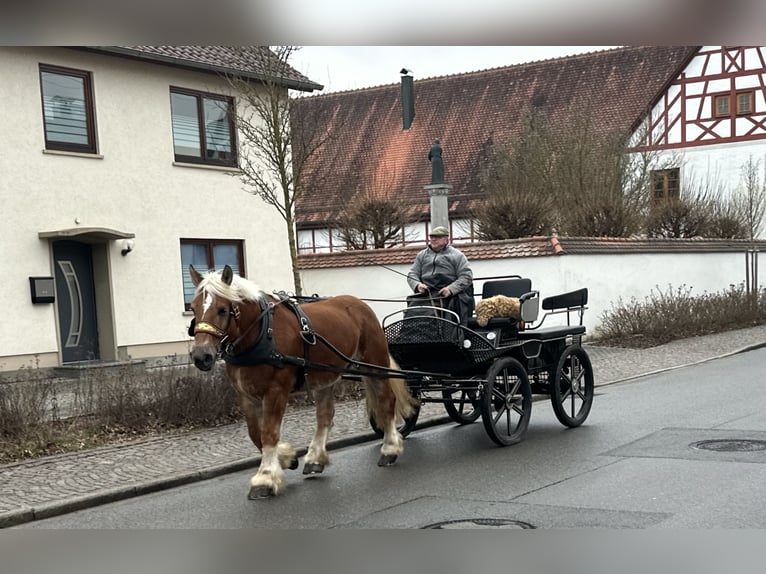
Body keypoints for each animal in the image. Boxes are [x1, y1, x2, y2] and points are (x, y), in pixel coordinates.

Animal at [188, 266, 416, 500]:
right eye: (193, 308)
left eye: (222, 309)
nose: (201, 356)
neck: (262, 333)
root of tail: (360, 304)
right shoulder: (246, 395)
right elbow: (255, 433)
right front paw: (286, 458)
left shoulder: (277, 390)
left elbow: (269, 432)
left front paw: (265, 478)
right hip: (326, 376)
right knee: (325, 416)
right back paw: (315, 459)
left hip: (375, 365)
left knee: (386, 402)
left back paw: (390, 449)